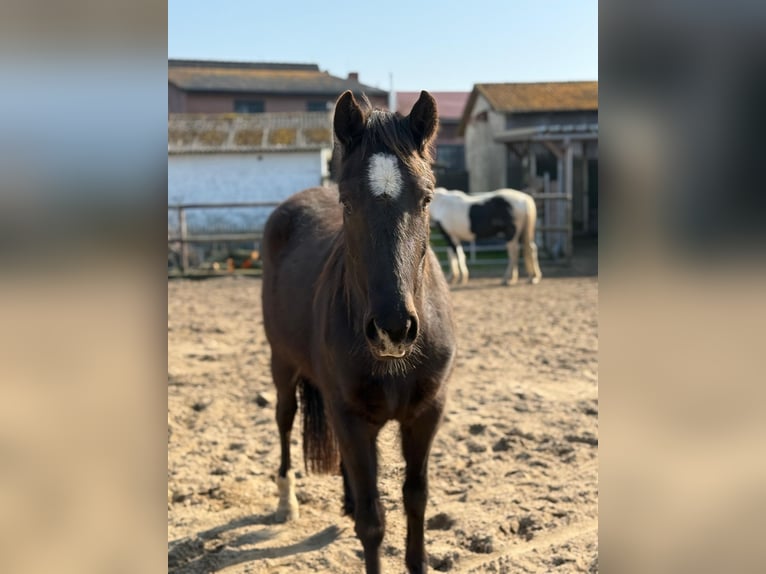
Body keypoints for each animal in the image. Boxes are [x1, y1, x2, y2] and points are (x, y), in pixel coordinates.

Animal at [261, 90, 456, 574]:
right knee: (284, 420)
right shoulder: (350, 417)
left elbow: (415, 499)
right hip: (283, 365)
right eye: (347, 202)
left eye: (426, 198)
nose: (392, 329)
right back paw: (286, 502)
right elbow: (373, 521)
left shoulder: (426, 414)